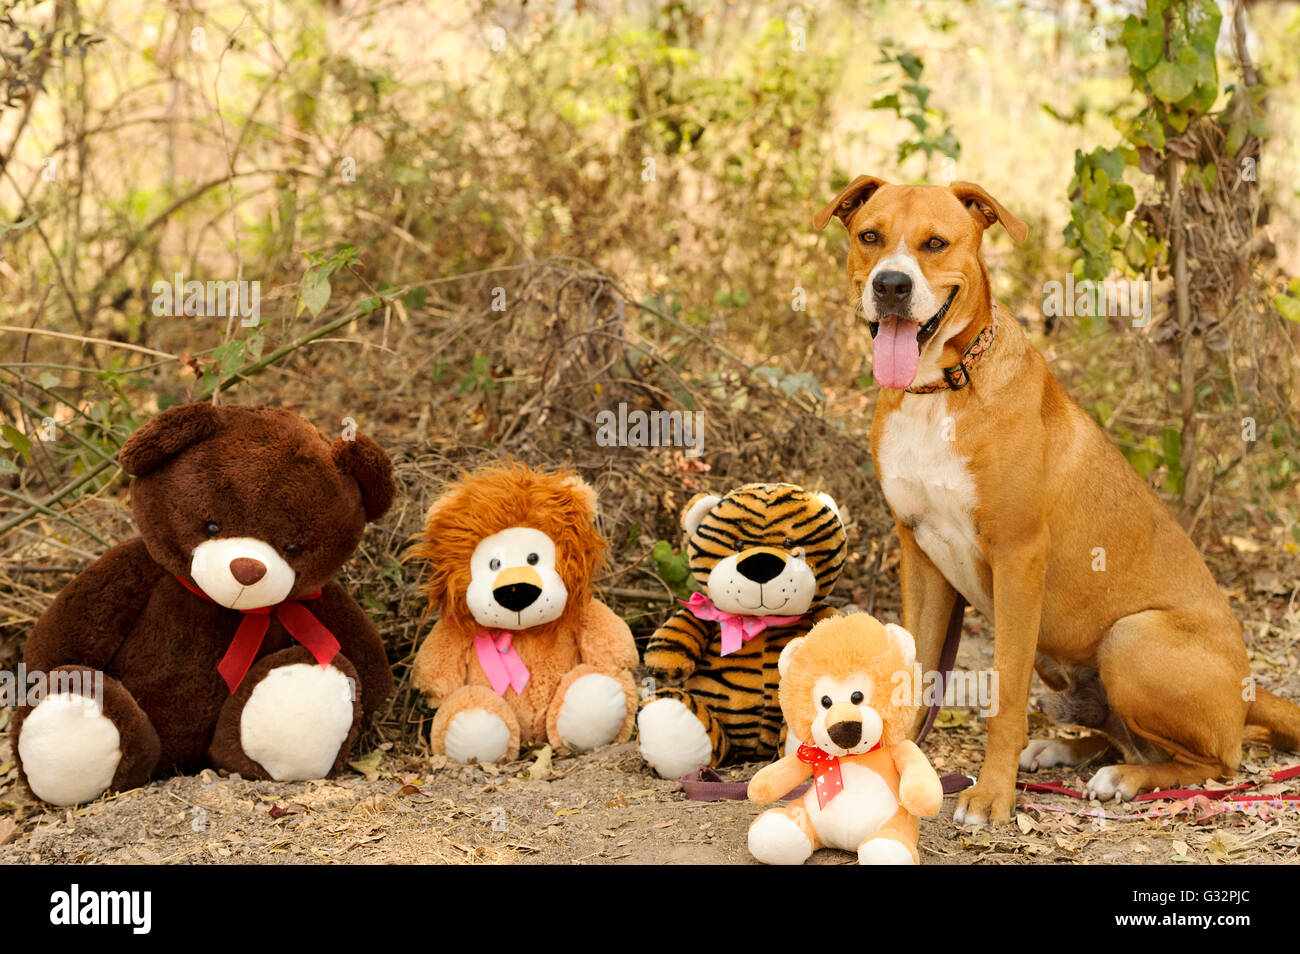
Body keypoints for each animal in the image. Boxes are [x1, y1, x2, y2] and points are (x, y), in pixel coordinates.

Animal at [811, 178, 1300, 831]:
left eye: (935, 243)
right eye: (870, 236)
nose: (892, 285)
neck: (939, 389)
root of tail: (1251, 687)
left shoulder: (1018, 560)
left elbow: (1005, 697)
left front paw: (991, 794)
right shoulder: (920, 554)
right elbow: (910, 679)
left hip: (1132, 640)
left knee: (1217, 760)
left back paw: (1124, 779)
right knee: (1131, 739)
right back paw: (1064, 750)